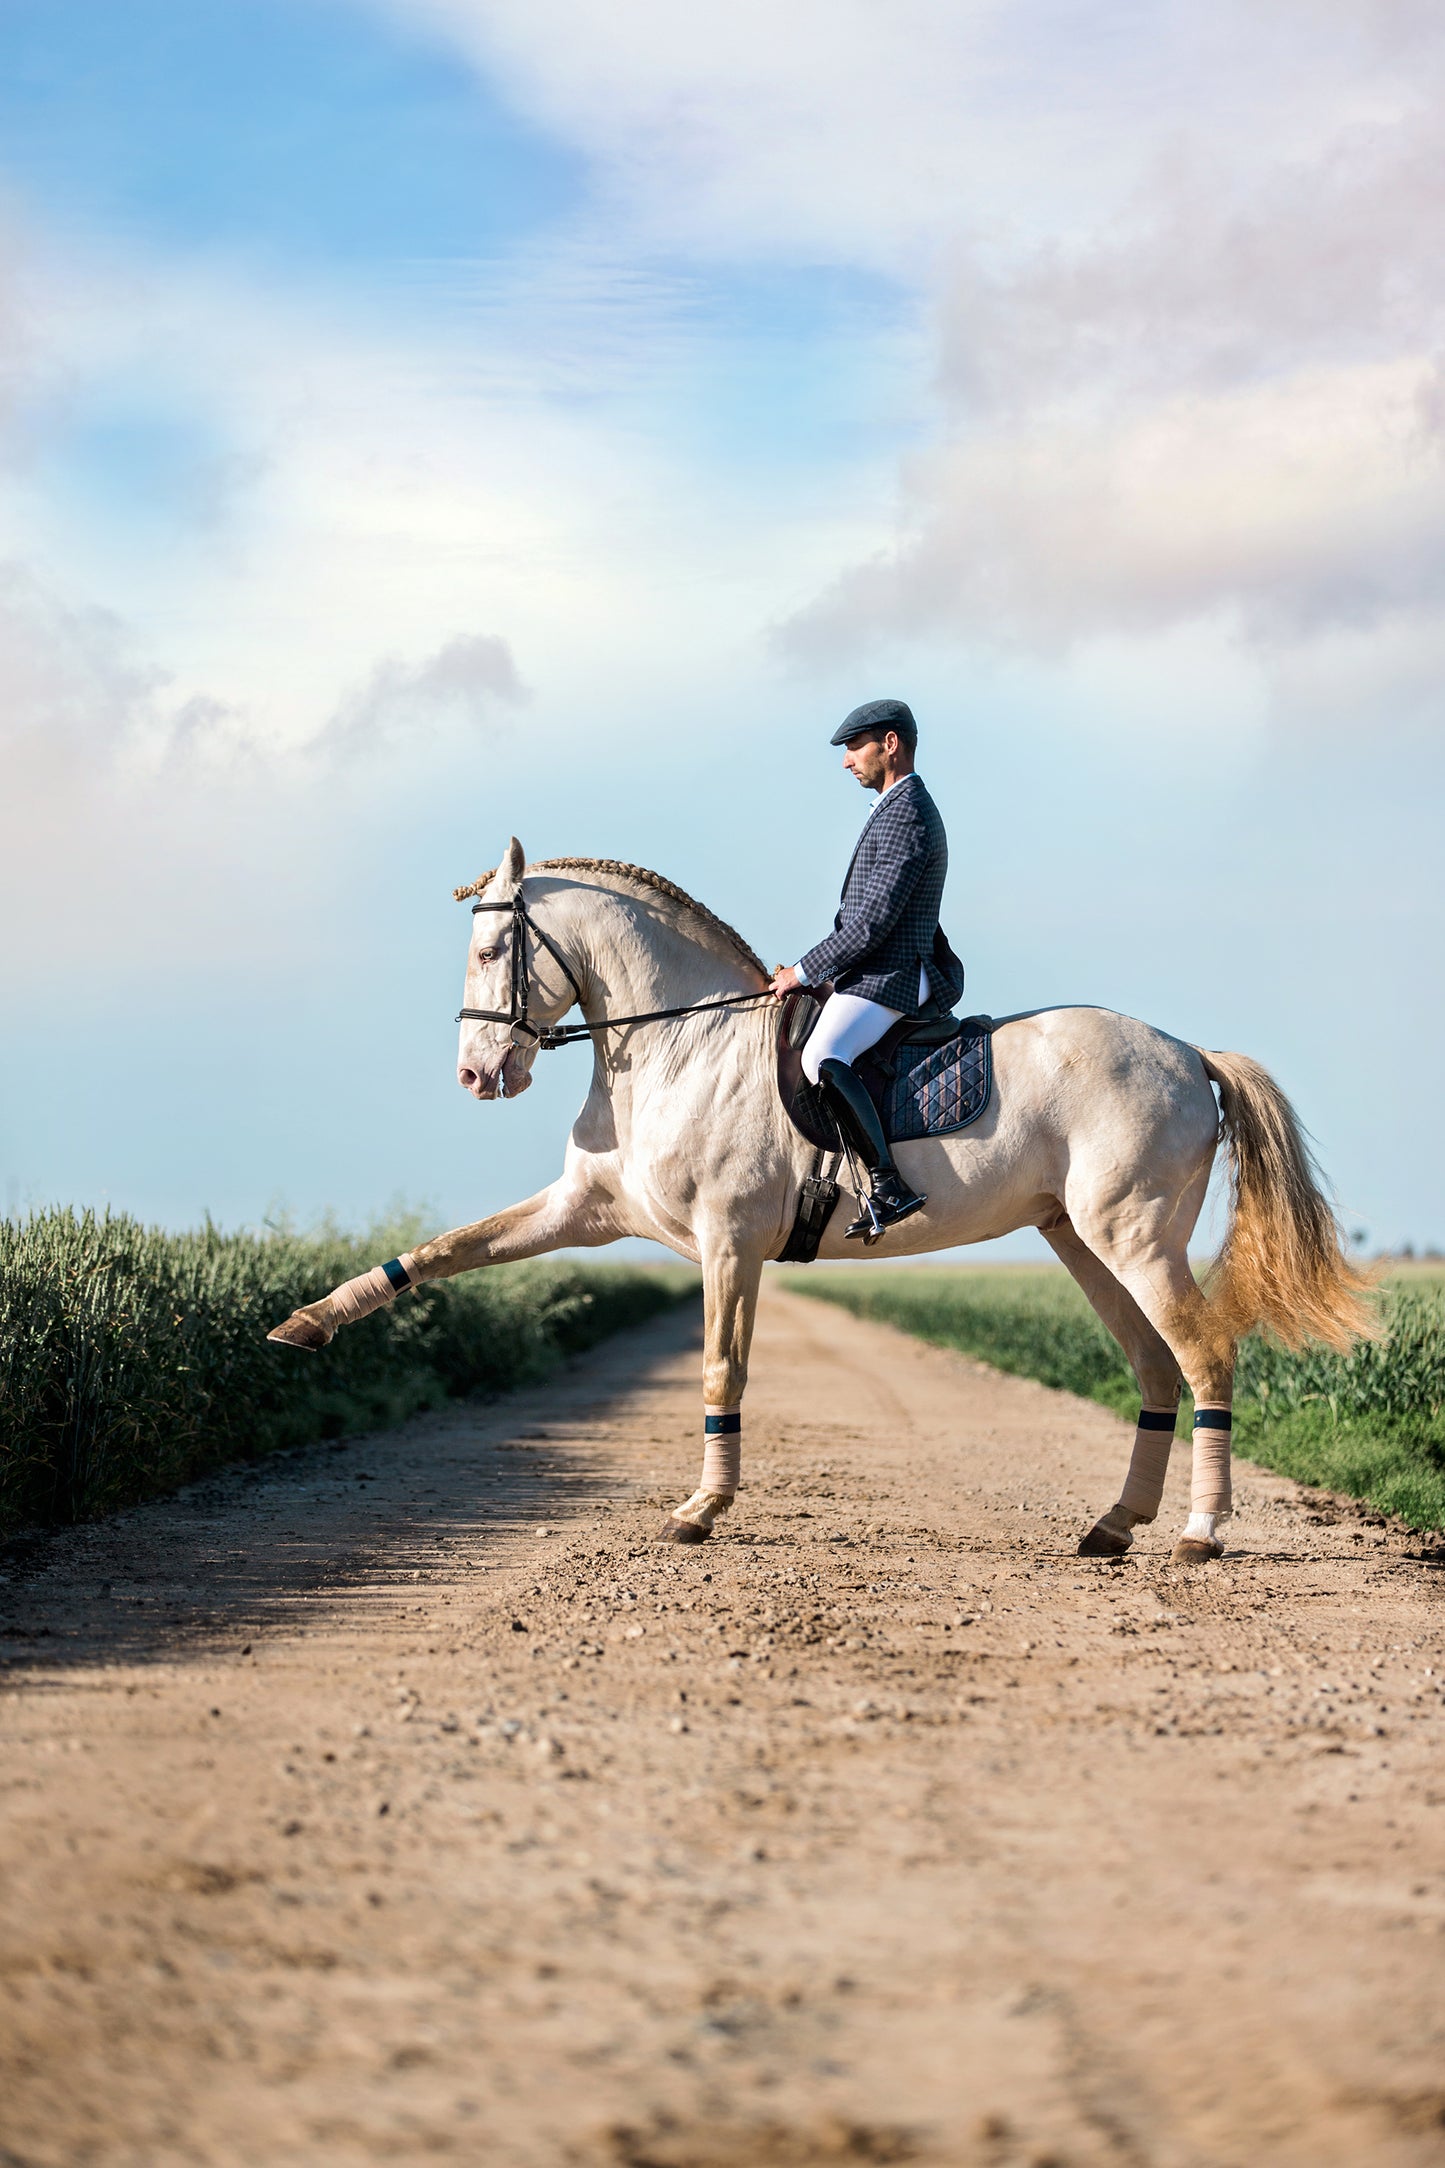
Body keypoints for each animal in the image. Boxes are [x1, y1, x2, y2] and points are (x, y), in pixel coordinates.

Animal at [265, 836, 1377, 1569]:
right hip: (1080, 1242)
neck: (676, 1044)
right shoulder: (586, 1207)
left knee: (1203, 1355)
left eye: (493, 953)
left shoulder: (726, 1241)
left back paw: (1198, 1533)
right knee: (1153, 1364)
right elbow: (447, 1247)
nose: (474, 1075)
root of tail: (1189, 1052)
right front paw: (306, 1323)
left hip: (1133, 1237)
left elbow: (721, 1368)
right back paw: (1111, 1527)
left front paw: (699, 1510)